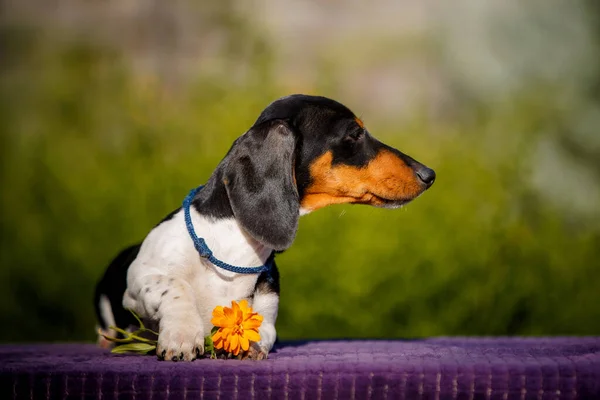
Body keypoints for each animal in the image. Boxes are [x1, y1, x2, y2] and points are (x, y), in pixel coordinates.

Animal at [92, 95, 436, 360]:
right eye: (354, 133)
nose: (429, 174)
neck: (231, 242)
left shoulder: (268, 310)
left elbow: (264, 329)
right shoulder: (139, 280)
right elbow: (174, 287)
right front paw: (182, 334)